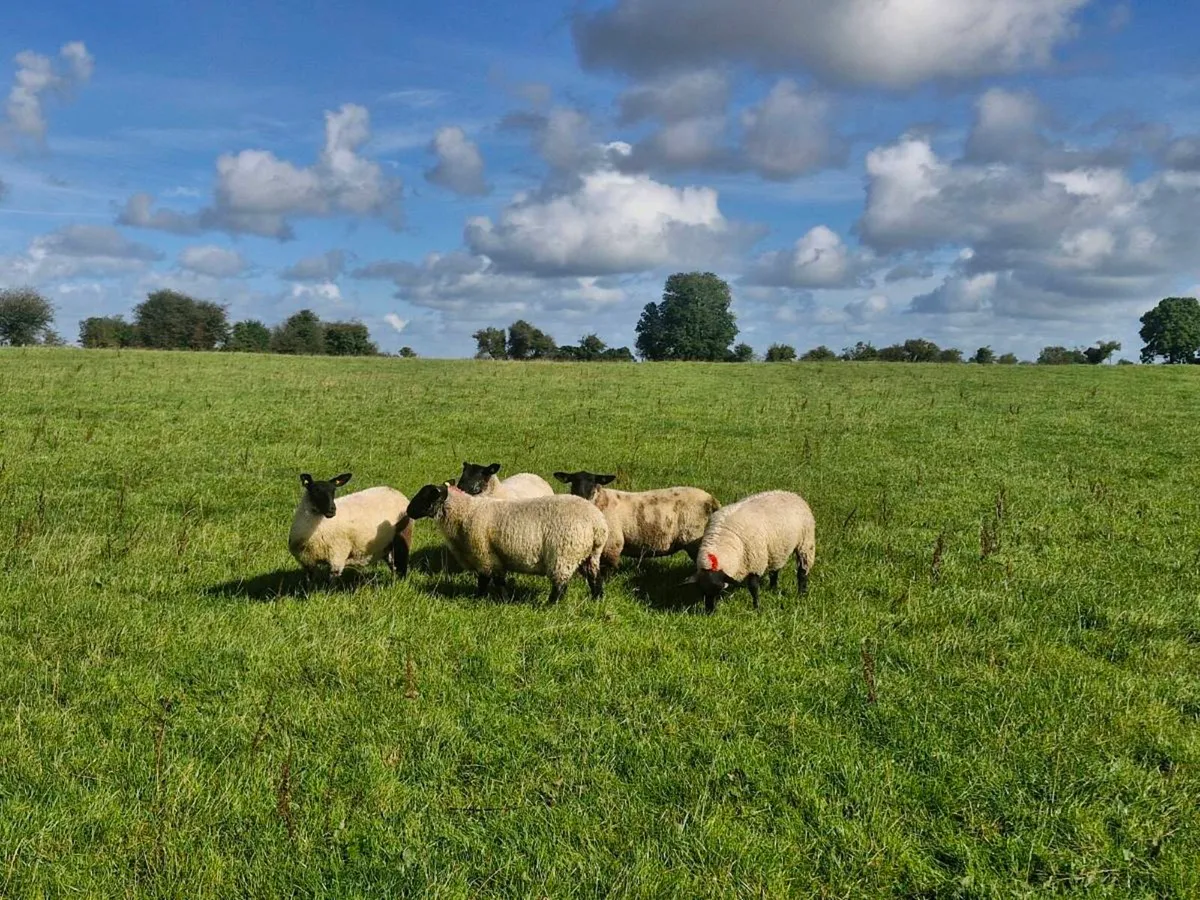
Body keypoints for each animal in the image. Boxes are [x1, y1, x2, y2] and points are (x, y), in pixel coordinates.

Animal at [406, 482, 608, 603]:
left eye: (426, 496)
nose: (408, 511)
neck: (465, 512)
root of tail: (597, 523)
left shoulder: (484, 554)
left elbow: (486, 580)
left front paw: (482, 599)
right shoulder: (496, 556)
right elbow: (498, 579)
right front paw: (504, 600)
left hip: (564, 554)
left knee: (560, 585)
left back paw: (550, 605)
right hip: (591, 555)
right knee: (595, 578)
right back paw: (597, 600)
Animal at [552, 470, 720, 571]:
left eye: (594, 483)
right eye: (573, 482)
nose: (581, 497)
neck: (600, 502)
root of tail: (712, 500)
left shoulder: (612, 545)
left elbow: (609, 569)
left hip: (694, 539)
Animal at [684, 490, 815, 613]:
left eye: (719, 590)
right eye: (702, 591)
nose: (710, 612)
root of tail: (791, 494)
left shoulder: (755, 562)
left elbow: (753, 587)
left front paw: (757, 608)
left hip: (806, 543)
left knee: (802, 571)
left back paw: (801, 594)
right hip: (777, 548)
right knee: (775, 569)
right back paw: (773, 589)